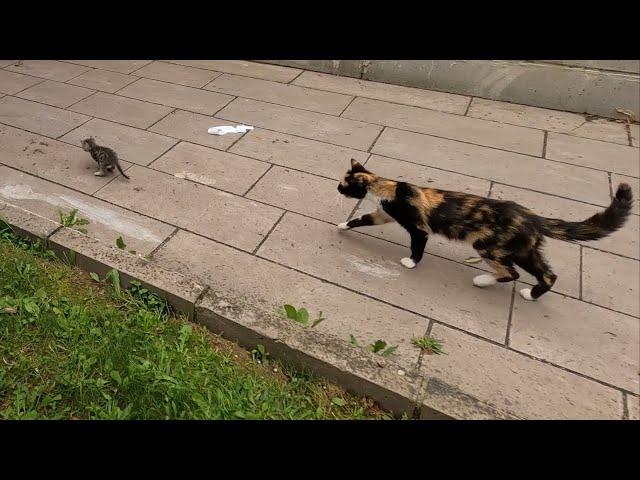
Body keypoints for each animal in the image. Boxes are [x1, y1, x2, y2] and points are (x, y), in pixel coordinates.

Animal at [338, 158, 632, 300]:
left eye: (344, 184)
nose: (337, 188)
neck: (385, 187)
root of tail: (532, 217)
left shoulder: (417, 227)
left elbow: (417, 244)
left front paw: (411, 262)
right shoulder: (381, 215)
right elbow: (362, 219)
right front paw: (343, 224)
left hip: (489, 246)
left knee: (512, 273)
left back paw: (482, 280)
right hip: (524, 249)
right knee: (547, 275)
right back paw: (531, 294)